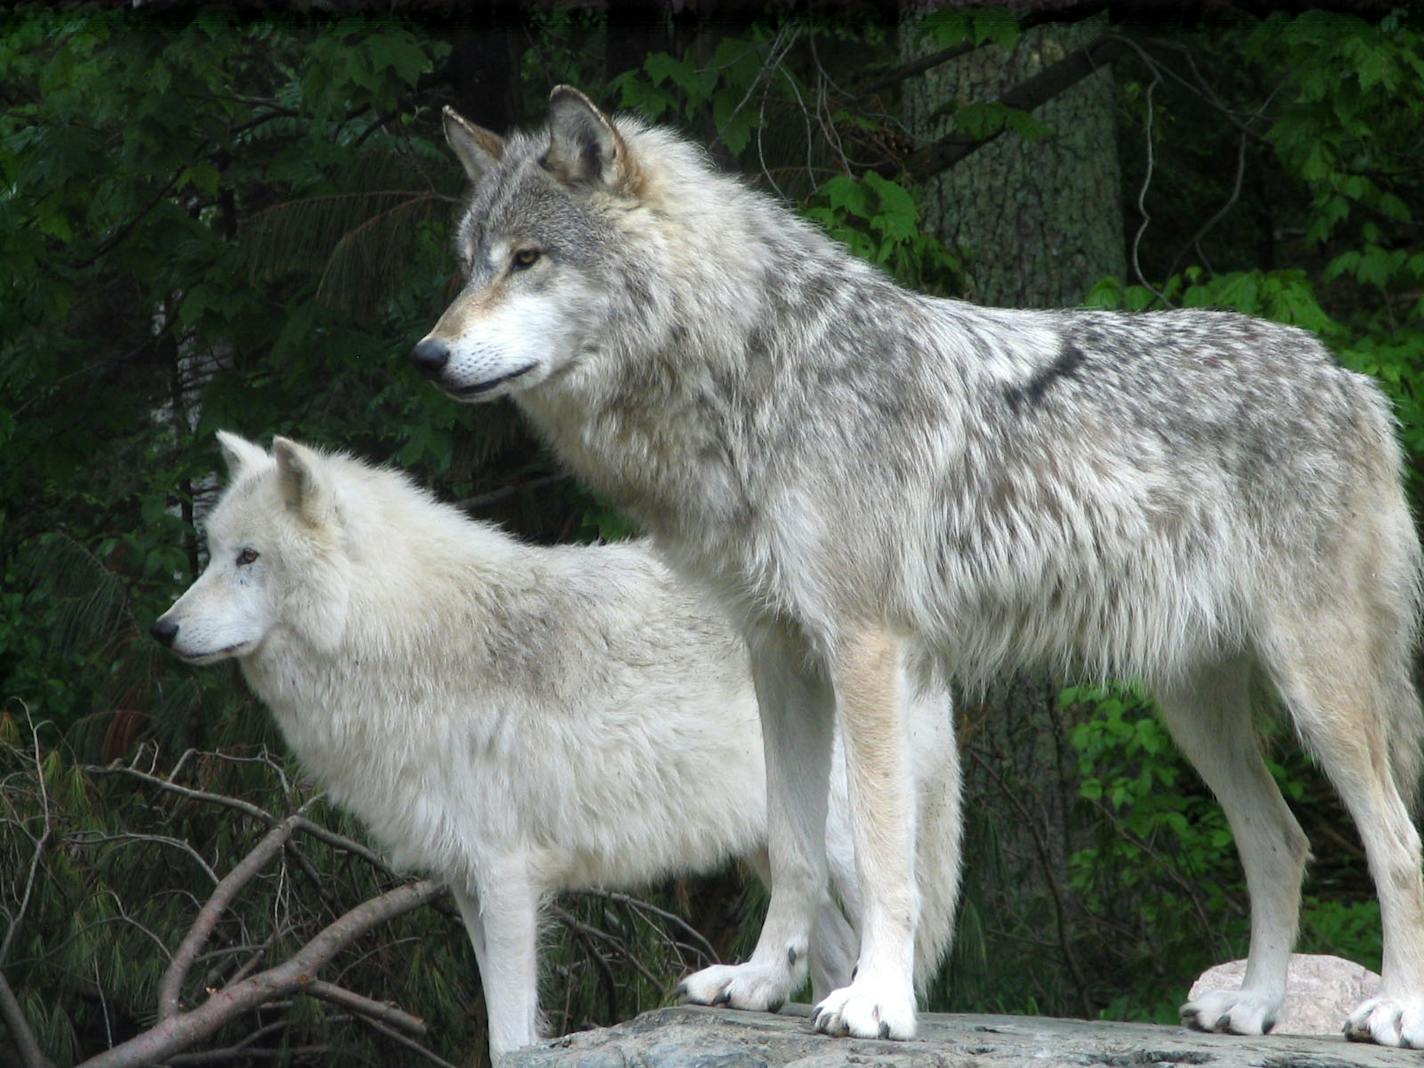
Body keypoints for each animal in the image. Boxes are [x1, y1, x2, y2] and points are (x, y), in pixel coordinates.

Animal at [150, 435, 962, 1065]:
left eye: (249, 558)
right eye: (212, 554)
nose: (163, 629)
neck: (402, 637)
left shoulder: (508, 878)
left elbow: (511, 1034)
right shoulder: (465, 882)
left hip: (848, 849)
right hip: (778, 853)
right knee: (818, 950)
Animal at [412, 87, 1424, 1048]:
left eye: (528, 259)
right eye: (467, 263)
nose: (428, 354)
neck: (758, 373)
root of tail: (1350, 380)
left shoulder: (867, 649)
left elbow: (883, 856)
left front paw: (875, 1002)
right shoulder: (780, 657)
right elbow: (793, 849)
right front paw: (761, 984)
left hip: (1316, 691)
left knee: (1398, 845)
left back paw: (1394, 1014)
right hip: (1197, 706)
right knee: (1282, 843)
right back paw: (1252, 1008)